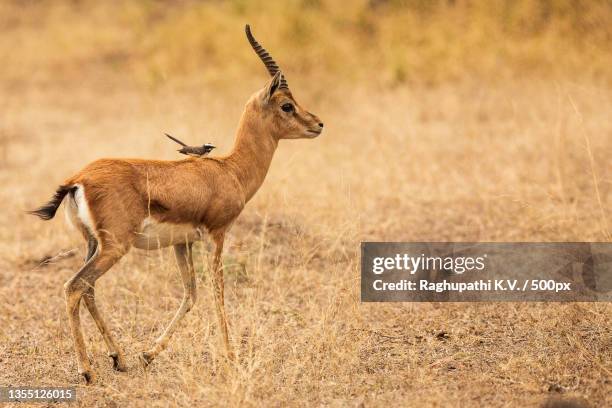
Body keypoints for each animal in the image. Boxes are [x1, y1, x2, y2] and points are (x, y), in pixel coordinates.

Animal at [28, 25, 326, 382]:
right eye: (286, 105)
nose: (318, 124)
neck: (230, 170)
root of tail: (78, 179)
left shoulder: (182, 243)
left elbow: (191, 293)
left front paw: (147, 355)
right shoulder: (217, 234)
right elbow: (217, 292)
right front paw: (231, 357)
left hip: (93, 243)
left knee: (88, 289)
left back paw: (119, 358)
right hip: (114, 246)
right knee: (74, 286)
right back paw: (87, 371)